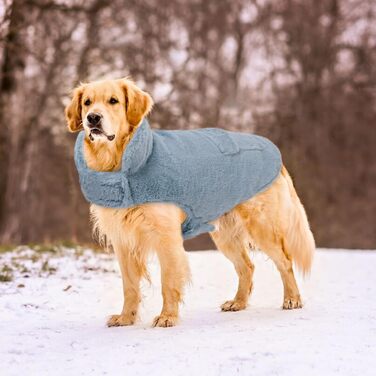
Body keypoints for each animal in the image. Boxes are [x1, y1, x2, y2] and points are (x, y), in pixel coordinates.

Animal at [64, 78, 314, 328]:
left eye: (113, 101)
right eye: (87, 102)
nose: (93, 118)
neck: (124, 163)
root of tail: (274, 153)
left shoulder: (166, 236)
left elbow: (168, 281)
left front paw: (167, 316)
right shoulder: (123, 240)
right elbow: (130, 286)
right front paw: (126, 318)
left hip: (262, 226)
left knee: (285, 261)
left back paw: (292, 299)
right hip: (225, 235)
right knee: (247, 266)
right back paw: (238, 302)